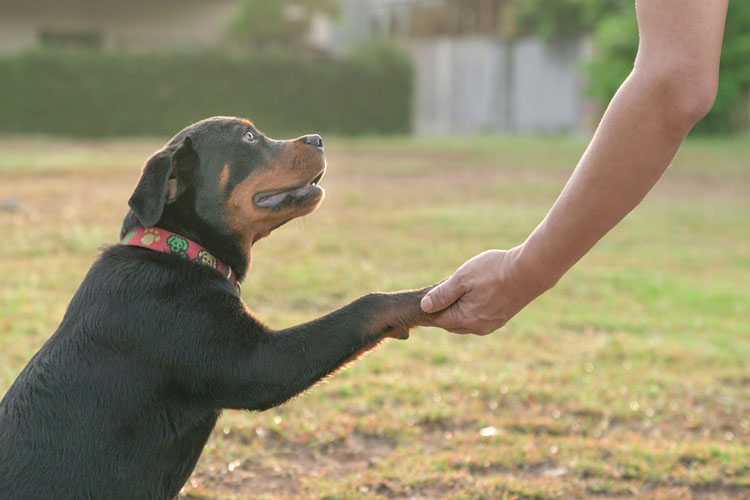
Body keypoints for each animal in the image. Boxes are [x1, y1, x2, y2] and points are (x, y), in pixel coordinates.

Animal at [0, 118, 432, 500]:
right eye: (248, 137)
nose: (318, 138)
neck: (180, 250)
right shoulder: (260, 363)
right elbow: (365, 306)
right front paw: (425, 297)